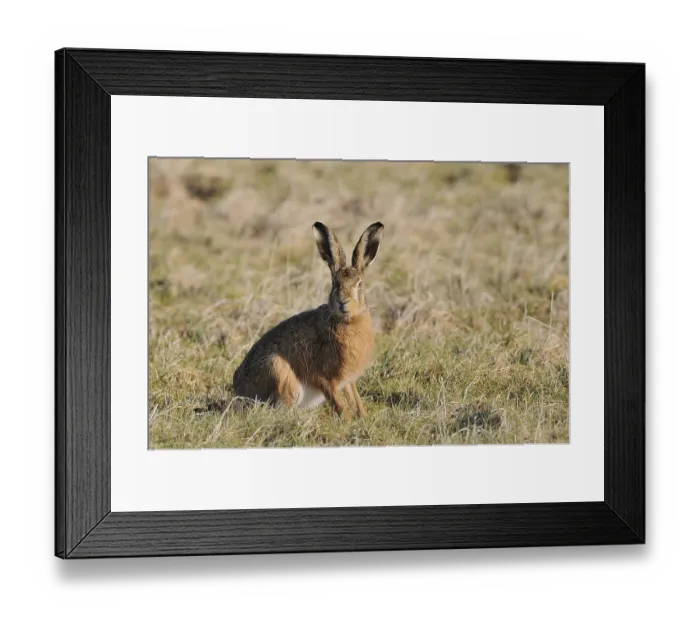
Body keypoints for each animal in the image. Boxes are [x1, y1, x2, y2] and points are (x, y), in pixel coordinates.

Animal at [233, 221, 384, 421]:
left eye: (359, 284)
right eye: (335, 284)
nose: (343, 302)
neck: (348, 322)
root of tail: (239, 391)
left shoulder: (347, 379)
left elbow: (354, 397)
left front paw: (363, 417)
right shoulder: (325, 378)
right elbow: (338, 403)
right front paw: (347, 421)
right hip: (279, 372)